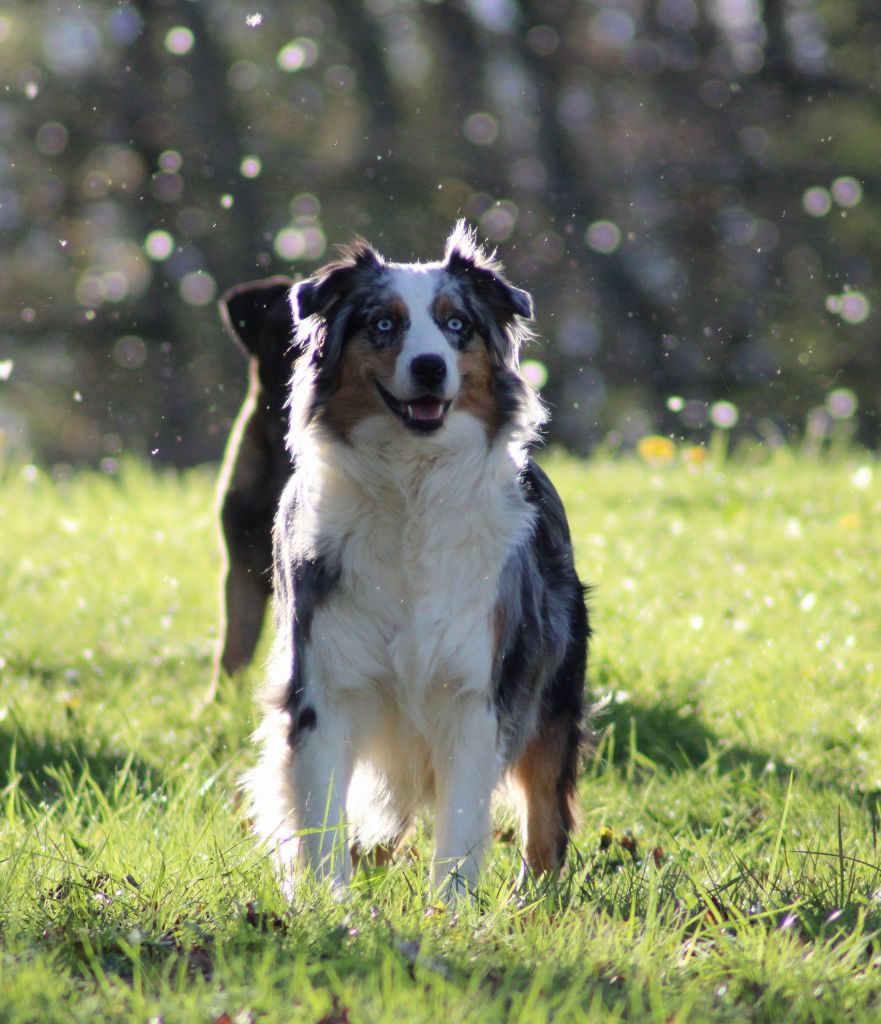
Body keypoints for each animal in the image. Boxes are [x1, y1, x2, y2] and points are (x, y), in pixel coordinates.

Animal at [247, 224, 590, 897]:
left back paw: (529, 903)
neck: (411, 482)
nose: (430, 367)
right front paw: (330, 908)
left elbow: (458, 834)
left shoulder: (475, 694)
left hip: (551, 696)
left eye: (457, 325)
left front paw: (448, 914)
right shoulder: (324, 688)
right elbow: (324, 826)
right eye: (384, 324)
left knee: (544, 819)